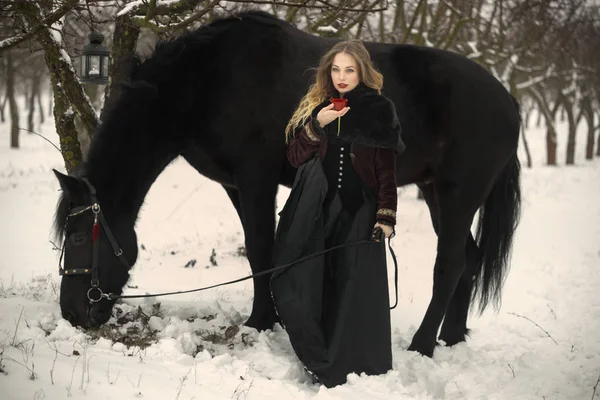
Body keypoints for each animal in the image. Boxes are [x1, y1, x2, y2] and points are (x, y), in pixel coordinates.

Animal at [51, 10, 520, 358]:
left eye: (78, 237)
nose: (72, 312)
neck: (208, 80)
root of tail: (508, 100)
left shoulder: (255, 178)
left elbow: (261, 247)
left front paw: (260, 321)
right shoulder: (234, 185)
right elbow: (259, 248)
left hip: (458, 194)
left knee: (451, 265)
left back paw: (423, 345)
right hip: (436, 193)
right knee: (469, 260)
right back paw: (452, 338)